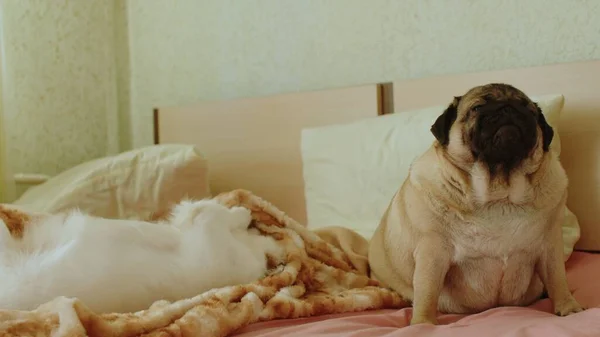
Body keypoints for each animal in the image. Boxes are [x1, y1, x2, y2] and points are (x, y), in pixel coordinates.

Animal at [368, 82, 584, 324]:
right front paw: (423, 323)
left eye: (528, 110)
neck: (499, 193)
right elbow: (427, 291)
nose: (508, 108)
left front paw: (568, 307)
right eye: (478, 107)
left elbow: (558, 279)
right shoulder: (432, 250)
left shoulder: (550, 246)